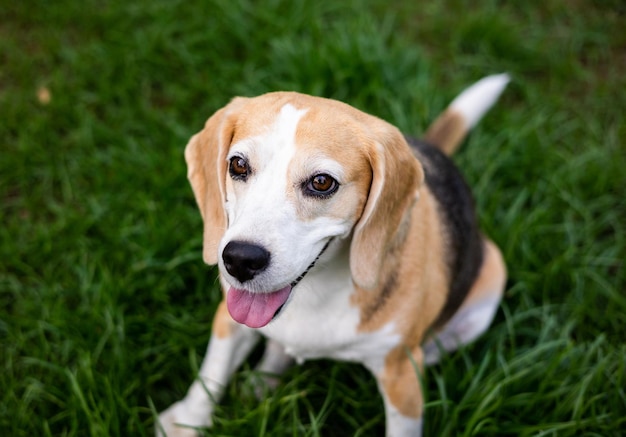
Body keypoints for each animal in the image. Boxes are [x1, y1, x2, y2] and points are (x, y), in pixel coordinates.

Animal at [156, 73, 508, 434]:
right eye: (238, 164)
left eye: (322, 182)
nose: (240, 260)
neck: (315, 289)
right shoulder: (229, 319)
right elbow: (212, 371)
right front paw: (186, 422)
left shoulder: (401, 376)